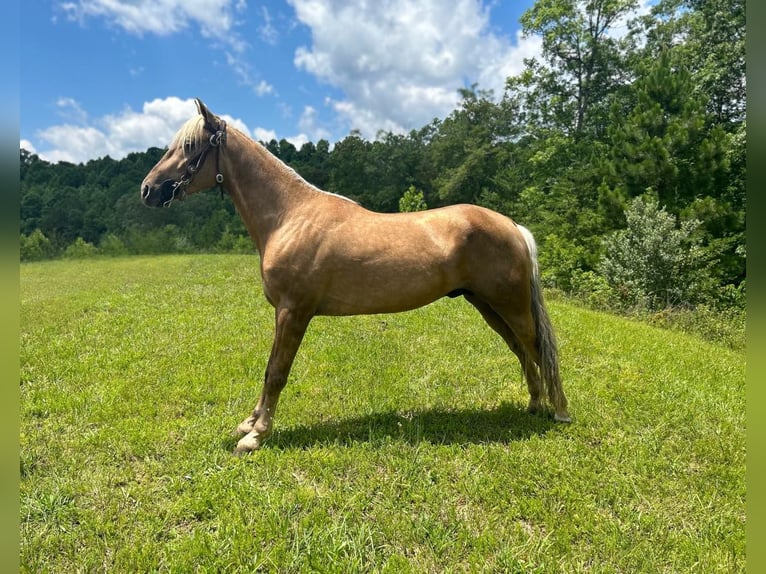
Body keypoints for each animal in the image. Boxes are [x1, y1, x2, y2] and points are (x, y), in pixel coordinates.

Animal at [141, 100, 568, 460]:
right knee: (522, 350)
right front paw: (250, 423)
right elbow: (268, 369)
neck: (289, 216)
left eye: (189, 146)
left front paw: (256, 435)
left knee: (537, 348)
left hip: (510, 305)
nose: (148, 189)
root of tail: (512, 226)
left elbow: (276, 372)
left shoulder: (293, 311)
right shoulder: (285, 313)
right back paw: (534, 404)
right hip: (488, 305)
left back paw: (558, 410)